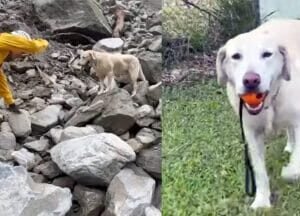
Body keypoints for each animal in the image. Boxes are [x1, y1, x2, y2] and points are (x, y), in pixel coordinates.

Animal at [216, 19, 300, 209]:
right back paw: (290, 146)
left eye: (267, 54)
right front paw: (262, 200)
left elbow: (294, 167)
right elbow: (259, 171)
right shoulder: (251, 134)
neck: (269, 102)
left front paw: (290, 170)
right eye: (236, 56)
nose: (251, 80)